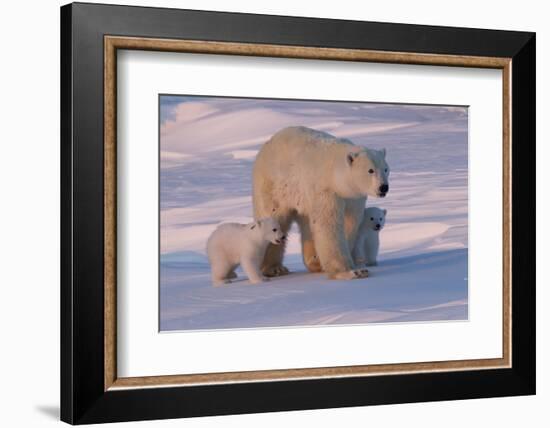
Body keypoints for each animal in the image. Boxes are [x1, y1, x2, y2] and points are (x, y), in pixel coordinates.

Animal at [254, 126, 392, 280]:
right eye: (370, 170)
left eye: (386, 169)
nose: (383, 187)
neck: (334, 175)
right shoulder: (326, 191)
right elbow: (328, 224)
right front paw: (350, 272)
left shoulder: (354, 197)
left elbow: (349, 223)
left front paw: (357, 268)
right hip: (275, 186)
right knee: (274, 217)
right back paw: (274, 268)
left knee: (307, 225)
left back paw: (314, 262)